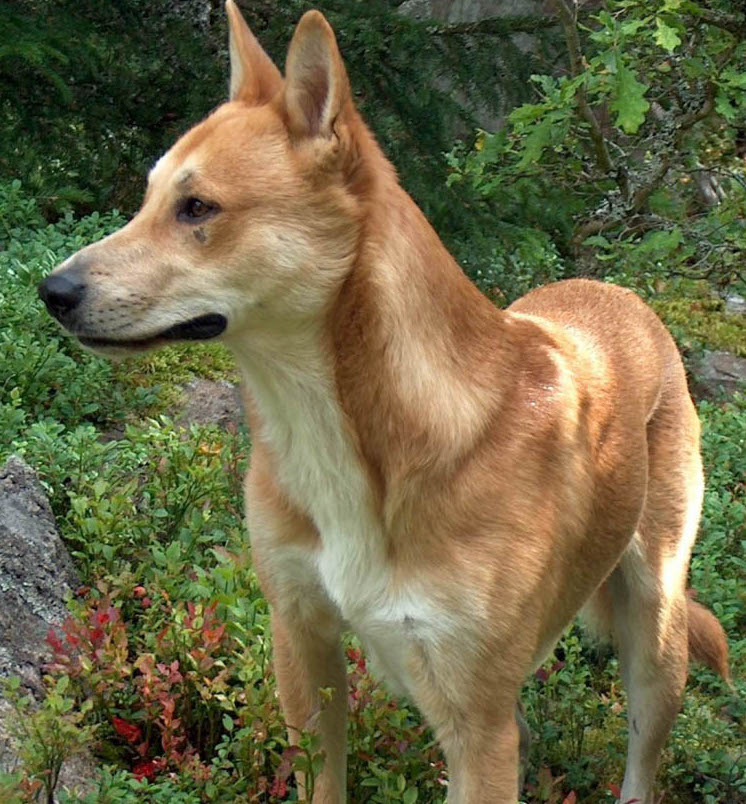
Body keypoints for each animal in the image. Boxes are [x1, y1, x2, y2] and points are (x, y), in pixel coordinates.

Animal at [39, 3, 728, 800]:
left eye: (197, 207)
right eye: (149, 200)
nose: (51, 292)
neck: (354, 437)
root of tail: (621, 296)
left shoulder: (476, 726)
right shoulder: (303, 652)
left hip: (656, 635)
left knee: (642, 756)